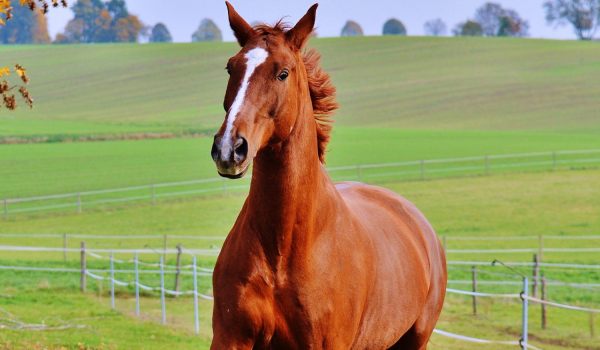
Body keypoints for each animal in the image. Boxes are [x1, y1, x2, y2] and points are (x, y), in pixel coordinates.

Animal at [210, 3, 446, 350]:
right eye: (231, 68)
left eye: (283, 73)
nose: (229, 148)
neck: (282, 252)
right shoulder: (230, 338)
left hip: (415, 340)